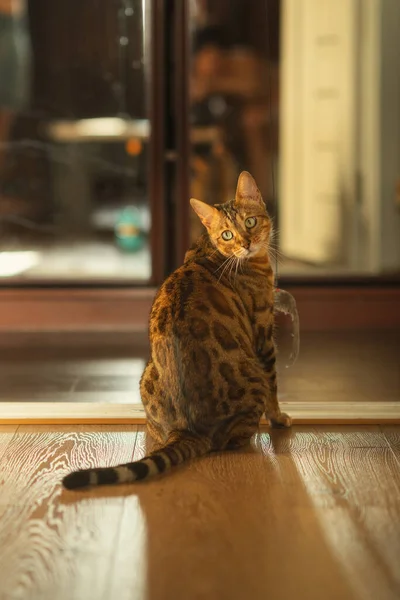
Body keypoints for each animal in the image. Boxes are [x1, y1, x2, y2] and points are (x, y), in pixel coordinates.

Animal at [64, 171, 292, 490]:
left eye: (249, 222)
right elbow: (275, 387)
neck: (212, 247)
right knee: (233, 438)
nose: (246, 243)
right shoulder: (264, 332)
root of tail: (189, 430)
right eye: (227, 234)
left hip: (146, 374)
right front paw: (279, 418)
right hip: (253, 374)